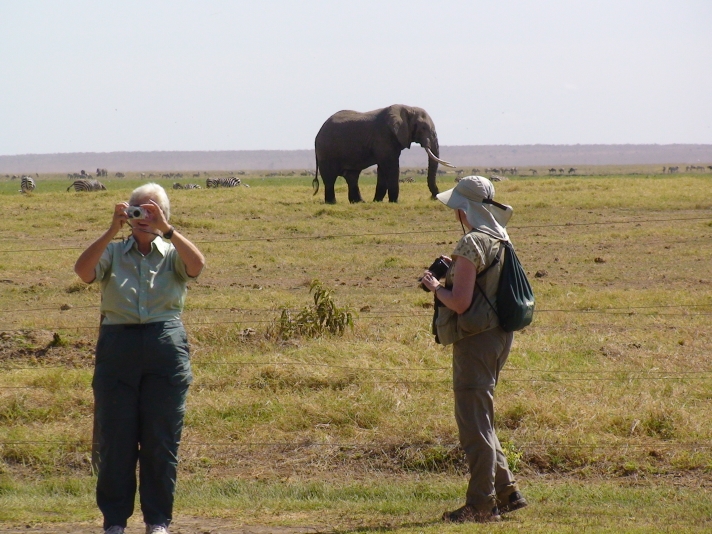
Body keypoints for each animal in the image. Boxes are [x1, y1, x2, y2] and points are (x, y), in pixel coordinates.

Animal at [312, 104, 454, 203]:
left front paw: (377, 201)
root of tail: (317, 134)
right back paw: (332, 202)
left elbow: (382, 168)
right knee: (330, 177)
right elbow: (391, 166)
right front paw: (394, 202)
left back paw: (359, 202)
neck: (408, 108)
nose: (434, 197)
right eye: (423, 128)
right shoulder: (384, 137)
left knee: (352, 176)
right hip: (326, 151)